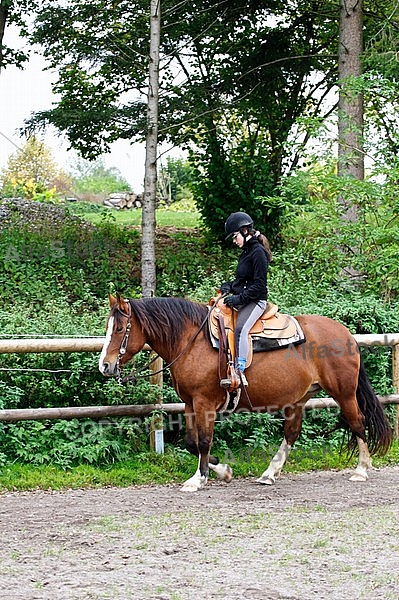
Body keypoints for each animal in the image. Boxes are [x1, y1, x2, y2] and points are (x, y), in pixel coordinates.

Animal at [99, 292, 394, 492]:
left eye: (120, 328)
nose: (105, 366)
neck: (191, 342)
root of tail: (346, 334)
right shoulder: (189, 404)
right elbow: (191, 442)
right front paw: (222, 470)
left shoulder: (204, 403)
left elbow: (203, 441)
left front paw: (200, 478)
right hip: (299, 399)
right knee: (292, 433)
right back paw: (269, 473)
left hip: (344, 393)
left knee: (358, 423)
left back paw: (361, 470)